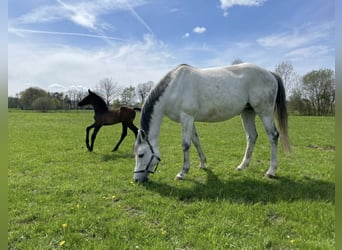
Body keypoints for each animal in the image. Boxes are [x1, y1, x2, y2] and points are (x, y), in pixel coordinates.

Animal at [132, 63, 290, 183]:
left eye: (141, 155)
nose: (136, 180)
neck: (174, 87)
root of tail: (270, 73)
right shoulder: (190, 119)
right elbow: (196, 141)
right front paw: (203, 164)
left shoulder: (186, 117)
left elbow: (186, 145)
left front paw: (182, 173)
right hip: (247, 112)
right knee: (251, 136)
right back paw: (242, 166)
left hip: (265, 112)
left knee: (273, 136)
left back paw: (271, 171)